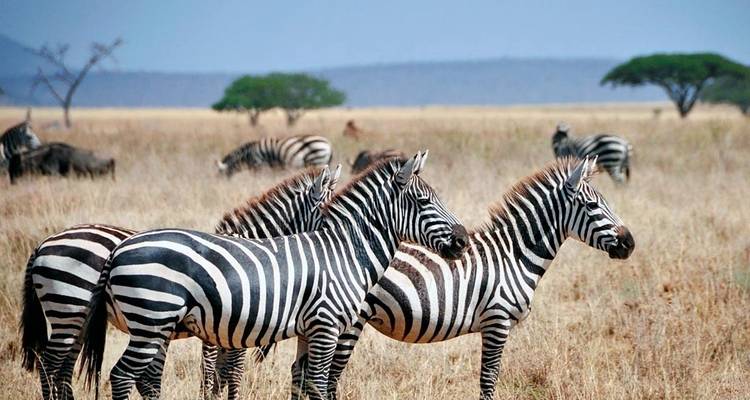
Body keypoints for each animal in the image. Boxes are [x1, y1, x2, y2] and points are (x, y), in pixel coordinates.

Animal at [20, 166, 340, 400]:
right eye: (327, 218)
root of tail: (43, 244)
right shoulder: (228, 326)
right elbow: (226, 373)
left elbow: (220, 373)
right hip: (69, 307)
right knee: (50, 364)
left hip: (77, 317)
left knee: (62, 368)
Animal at [79, 151, 469, 400]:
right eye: (424, 202)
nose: (463, 240)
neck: (343, 251)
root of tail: (119, 249)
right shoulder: (325, 325)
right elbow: (316, 384)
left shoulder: (307, 329)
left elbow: (300, 381)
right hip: (151, 318)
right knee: (121, 376)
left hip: (153, 325)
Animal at [307, 157, 634, 400]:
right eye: (592, 206)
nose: (630, 243)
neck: (514, 254)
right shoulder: (497, 321)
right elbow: (488, 380)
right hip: (349, 322)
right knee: (328, 378)